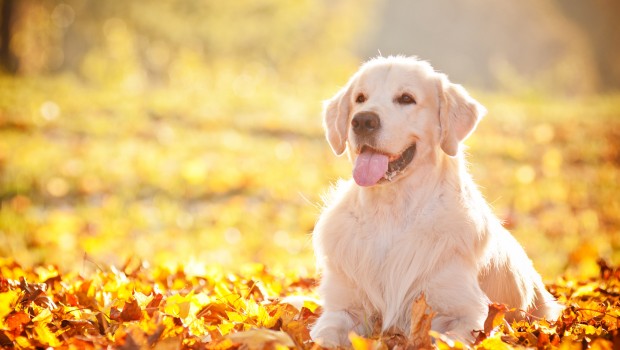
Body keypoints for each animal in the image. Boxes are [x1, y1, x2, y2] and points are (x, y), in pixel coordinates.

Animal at [308, 56, 560, 346]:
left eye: (406, 98)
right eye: (360, 98)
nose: (362, 120)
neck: (392, 212)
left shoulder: (464, 314)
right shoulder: (343, 308)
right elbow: (323, 336)